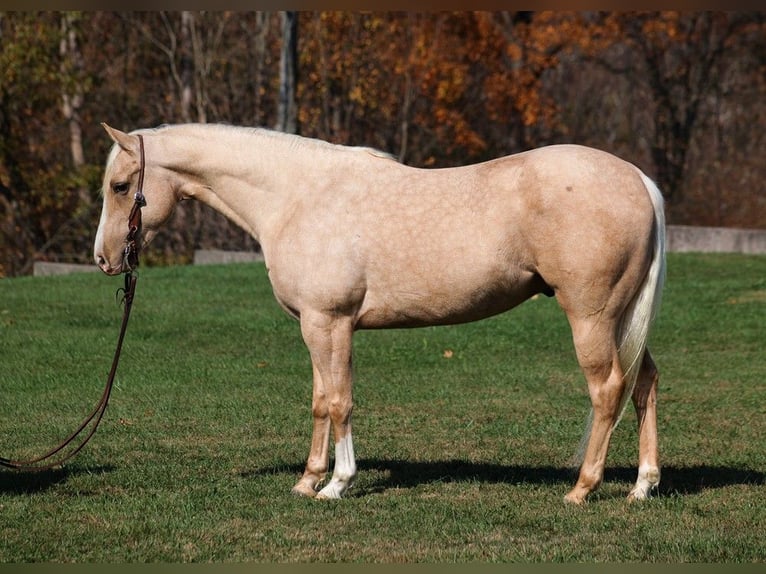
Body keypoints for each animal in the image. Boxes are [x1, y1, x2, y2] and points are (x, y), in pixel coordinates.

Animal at [93, 124, 664, 506]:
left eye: (120, 187)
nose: (104, 259)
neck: (297, 196)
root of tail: (639, 179)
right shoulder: (316, 326)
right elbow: (320, 402)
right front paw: (308, 480)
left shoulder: (330, 322)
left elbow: (340, 401)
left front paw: (337, 484)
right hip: (622, 319)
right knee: (644, 382)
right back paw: (642, 486)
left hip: (591, 317)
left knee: (608, 389)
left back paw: (582, 489)